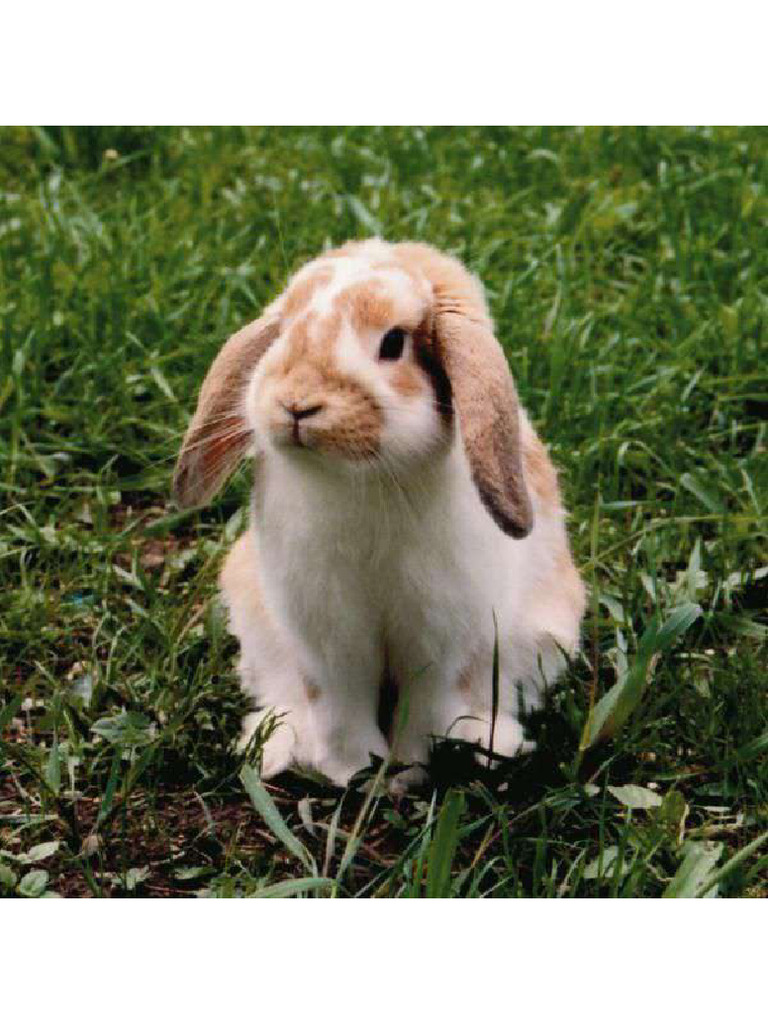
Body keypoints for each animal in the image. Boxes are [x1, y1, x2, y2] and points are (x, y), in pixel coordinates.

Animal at [173, 239, 585, 789]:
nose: (297, 404)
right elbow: (338, 706)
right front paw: (351, 772)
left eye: (393, 344)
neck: (358, 481)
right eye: (283, 332)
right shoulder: (325, 637)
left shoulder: (438, 638)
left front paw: (405, 775)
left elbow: (424, 710)